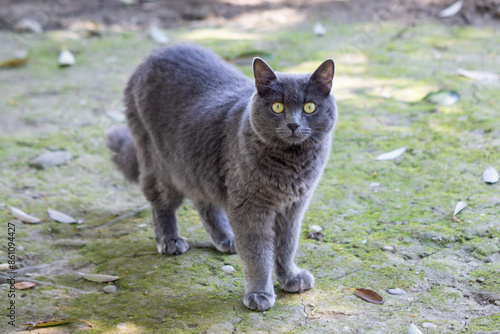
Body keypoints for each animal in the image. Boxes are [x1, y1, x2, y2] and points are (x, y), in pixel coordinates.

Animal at [107, 43, 338, 310]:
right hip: (161, 163)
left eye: (309, 107)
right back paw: (170, 240)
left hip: (198, 166)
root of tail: (154, 55)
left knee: (204, 202)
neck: (292, 163)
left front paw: (290, 278)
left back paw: (227, 239)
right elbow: (258, 254)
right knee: (161, 202)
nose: (293, 125)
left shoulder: (294, 207)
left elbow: (286, 246)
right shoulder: (250, 206)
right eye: (277, 107)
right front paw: (259, 294)